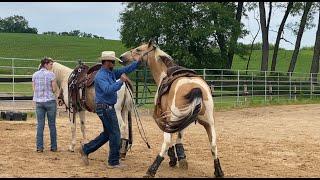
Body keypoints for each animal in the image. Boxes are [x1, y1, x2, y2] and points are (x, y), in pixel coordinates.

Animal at [120, 40, 225, 177]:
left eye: (138, 49)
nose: (122, 57)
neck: (164, 74)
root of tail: (196, 88)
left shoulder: (166, 117)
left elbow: (170, 140)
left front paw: (174, 159)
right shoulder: (182, 121)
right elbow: (179, 137)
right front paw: (182, 158)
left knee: (166, 141)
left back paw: (151, 170)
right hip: (209, 122)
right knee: (213, 144)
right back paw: (218, 171)